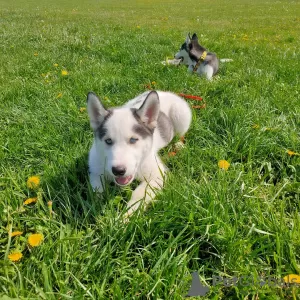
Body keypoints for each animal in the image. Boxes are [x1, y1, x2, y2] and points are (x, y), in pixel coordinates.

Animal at [86, 89, 191, 218]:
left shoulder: (157, 175)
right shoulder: (95, 170)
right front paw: (97, 207)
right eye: (108, 141)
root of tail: (165, 91)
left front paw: (127, 215)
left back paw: (179, 144)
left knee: (181, 134)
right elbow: (97, 190)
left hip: (181, 115)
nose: (118, 171)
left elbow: (139, 194)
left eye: (133, 140)